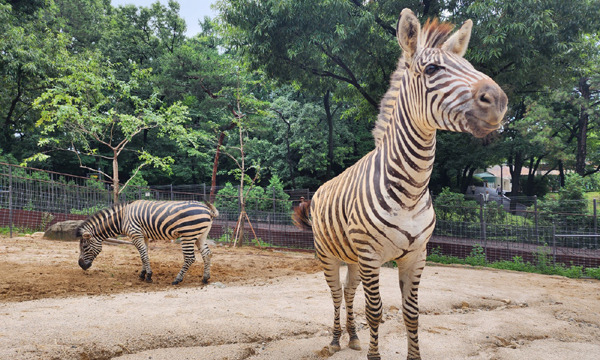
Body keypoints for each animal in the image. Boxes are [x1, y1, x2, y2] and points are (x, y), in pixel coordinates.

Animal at [77, 200, 218, 284]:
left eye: (84, 246)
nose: (81, 265)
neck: (122, 219)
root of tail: (207, 209)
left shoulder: (135, 234)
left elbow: (144, 255)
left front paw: (149, 276)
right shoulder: (143, 236)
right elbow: (143, 255)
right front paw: (143, 274)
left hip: (188, 235)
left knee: (190, 258)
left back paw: (177, 279)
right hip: (201, 235)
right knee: (207, 254)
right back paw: (205, 278)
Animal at [292, 8, 508, 360]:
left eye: (471, 65)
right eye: (432, 69)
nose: (500, 100)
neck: (411, 188)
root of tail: (320, 189)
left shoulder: (416, 255)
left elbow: (411, 313)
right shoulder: (370, 255)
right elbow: (376, 311)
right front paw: (373, 354)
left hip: (353, 259)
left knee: (349, 293)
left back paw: (352, 337)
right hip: (328, 255)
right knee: (337, 294)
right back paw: (335, 339)